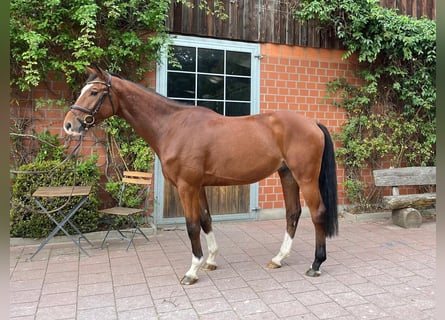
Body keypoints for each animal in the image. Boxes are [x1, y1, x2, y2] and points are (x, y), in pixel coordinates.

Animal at [64, 65, 338, 284]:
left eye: (94, 92)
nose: (69, 125)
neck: (172, 126)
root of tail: (312, 123)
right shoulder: (199, 186)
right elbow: (206, 219)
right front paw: (211, 261)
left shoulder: (186, 186)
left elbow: (192, 225)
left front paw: (192, 270)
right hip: (287, 174)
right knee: (293, 213)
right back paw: (279, 258)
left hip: (305, 178)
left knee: (317, 213)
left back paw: (315, 265)